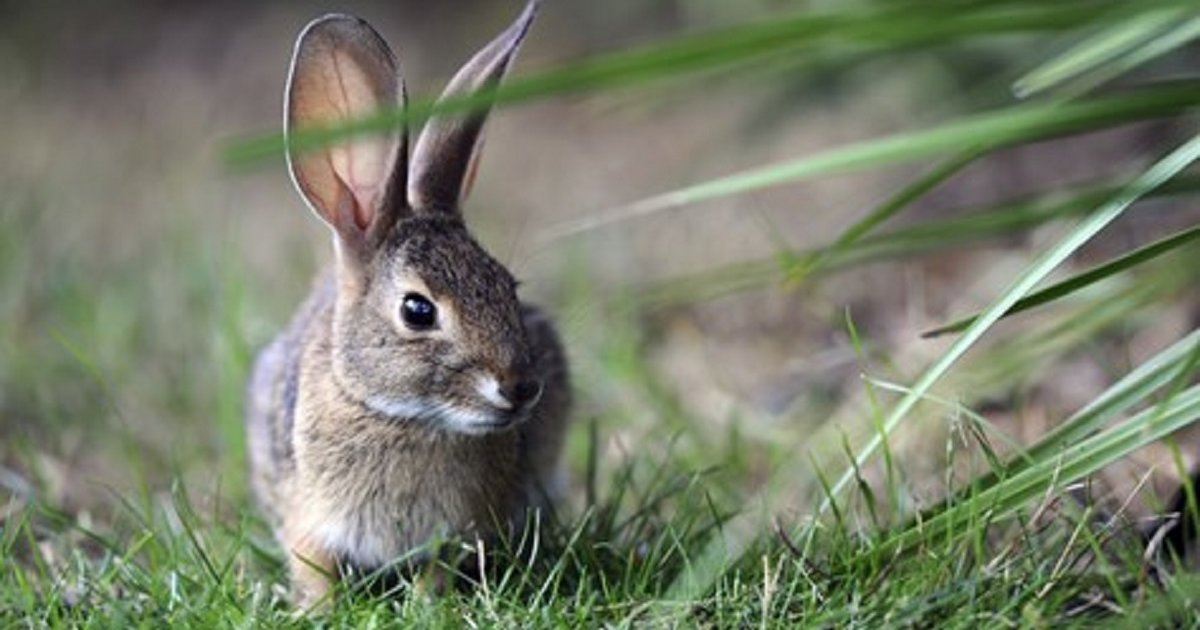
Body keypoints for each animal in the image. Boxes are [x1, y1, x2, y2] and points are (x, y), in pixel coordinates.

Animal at [245, 0, 569, 607]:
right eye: (418, 311)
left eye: (508, 287)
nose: (521, 387)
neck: (402, 417)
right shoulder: (309, 520)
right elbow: (315, 567)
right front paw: (320, 610)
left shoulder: (456, 530)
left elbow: (436, 568)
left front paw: (427, 604)